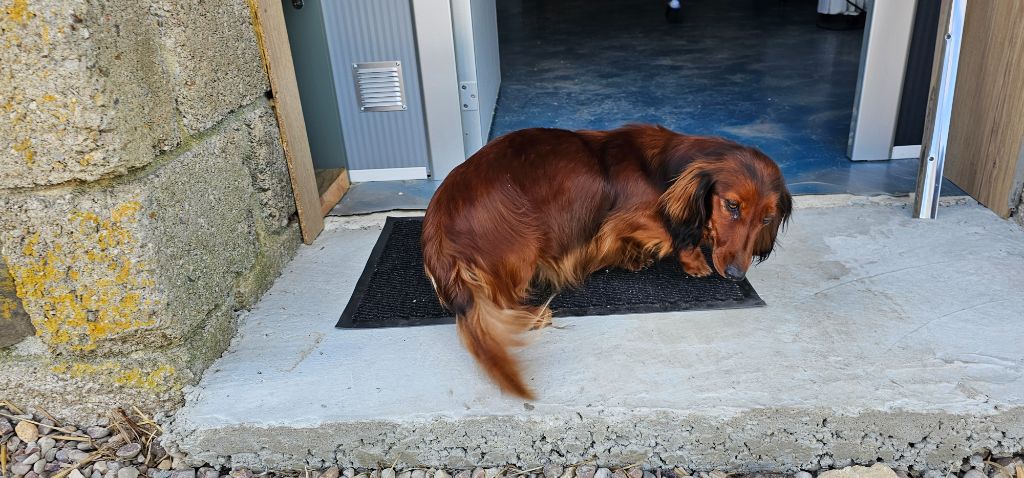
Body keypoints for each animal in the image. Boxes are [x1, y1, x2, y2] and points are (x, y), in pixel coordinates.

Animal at [419, 124, 794, 401]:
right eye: (731, 205)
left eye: (766, 218)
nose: (735, 275)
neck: (665, 169)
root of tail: (437, 229)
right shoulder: (625, 215)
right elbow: (671, 229)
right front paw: (692, 258)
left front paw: (634, 257)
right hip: (526, 236)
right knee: (500, 300)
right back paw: (534, 314)